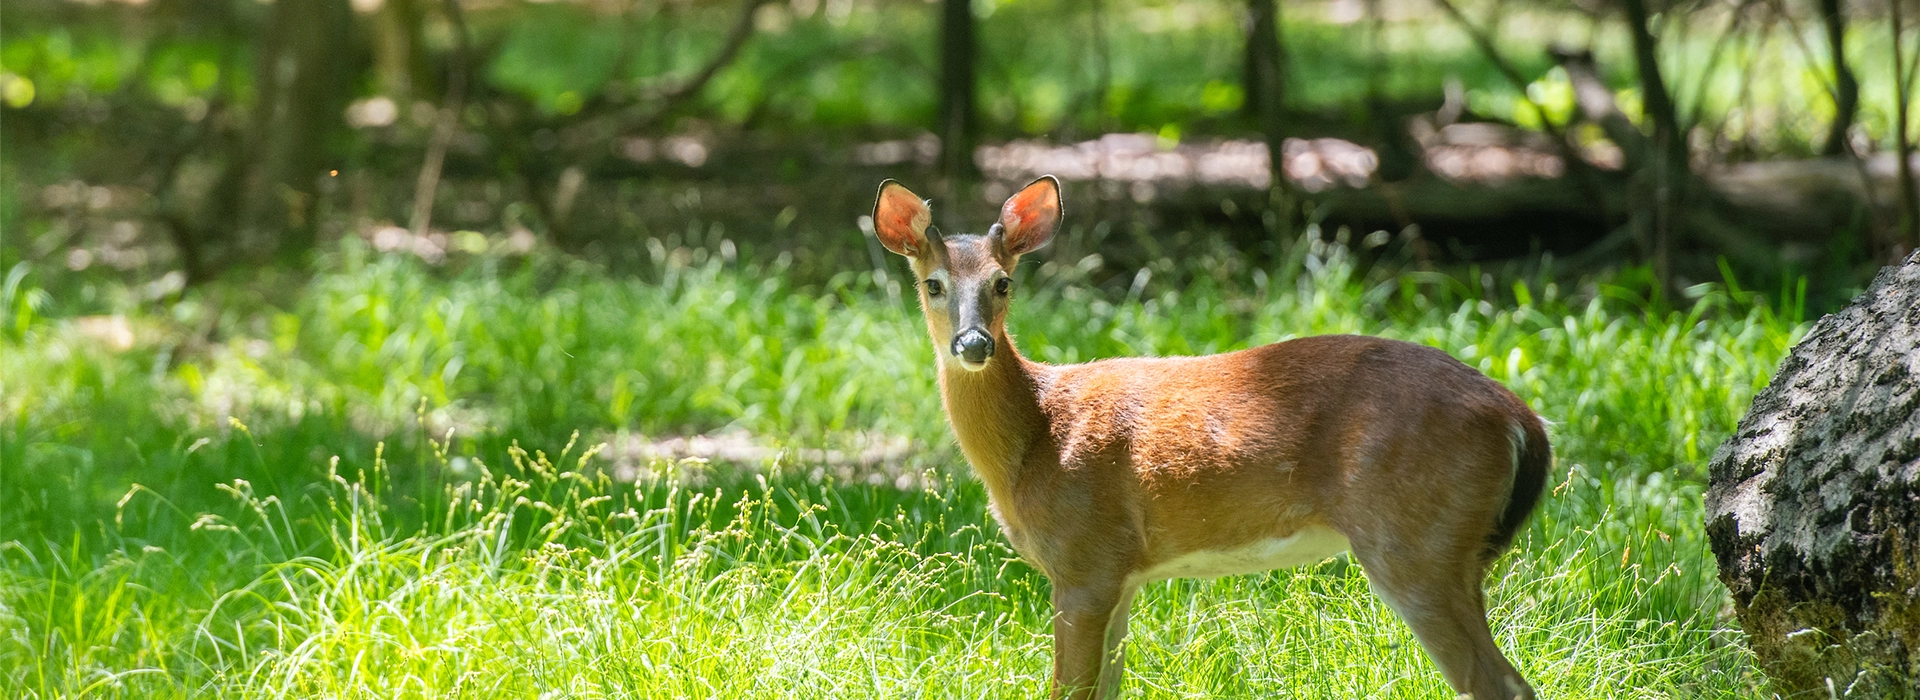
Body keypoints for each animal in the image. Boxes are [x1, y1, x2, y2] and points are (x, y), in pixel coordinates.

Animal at [870, 175, 1552, 700]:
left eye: (1003, 282)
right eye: (932, 283)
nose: (973, 344)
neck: (1035, 438)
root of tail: (1521, 419)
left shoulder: (1085, 555)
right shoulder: (1121, 573)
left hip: (1415, 540)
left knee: (1498, 684)